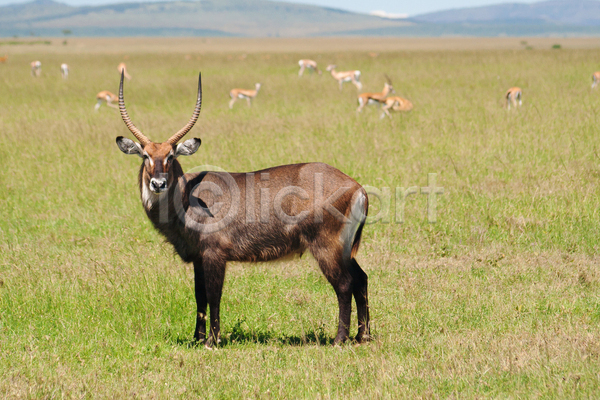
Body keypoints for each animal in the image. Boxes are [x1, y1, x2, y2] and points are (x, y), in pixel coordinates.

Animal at [115, 72, 370, 346]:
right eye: (145, 155)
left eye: (171, 156)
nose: (158, 184)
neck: (186, 197)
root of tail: (357, 187)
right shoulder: (198, 257)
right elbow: (199, 296)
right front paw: (197, 338)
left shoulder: (214, 254)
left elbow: (213, 296)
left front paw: (212, 341)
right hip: (344, 249)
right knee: (361, 279)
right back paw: (362, 335)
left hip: (326, 247)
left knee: (344, 284)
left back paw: (340, 339)